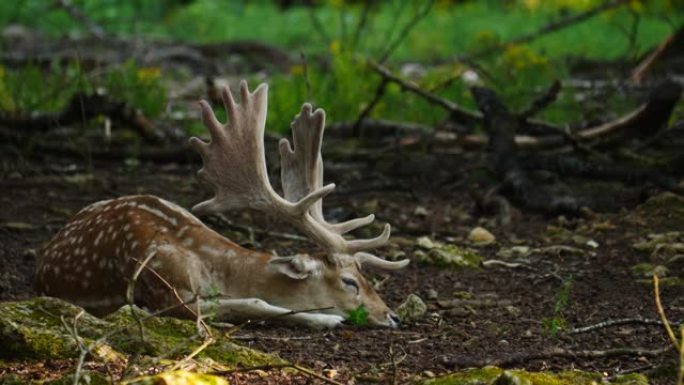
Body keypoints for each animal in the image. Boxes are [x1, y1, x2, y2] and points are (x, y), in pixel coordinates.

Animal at [34, 81, 408, 328]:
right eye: (350, 282)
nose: (392, 315)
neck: (211, 266)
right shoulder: (165, 290)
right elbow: (253, 301)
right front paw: (326, 318)